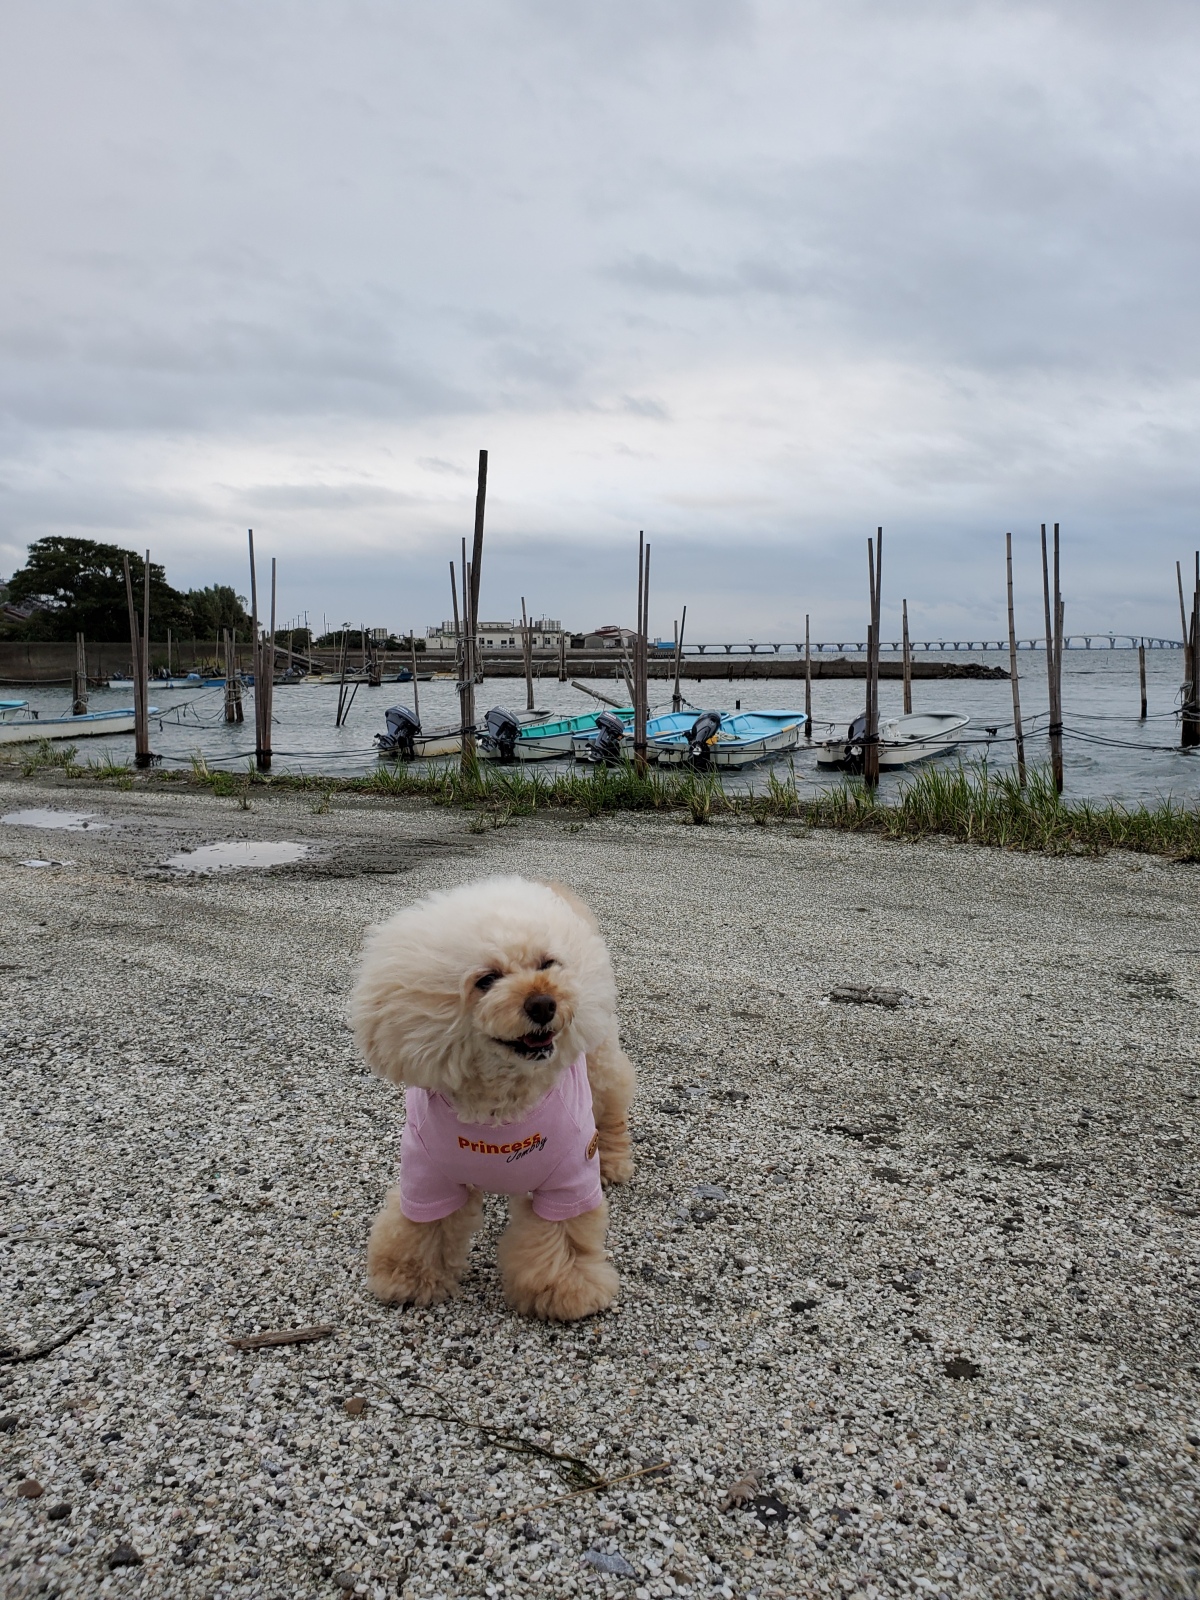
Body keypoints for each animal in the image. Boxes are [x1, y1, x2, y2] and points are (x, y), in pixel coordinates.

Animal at [351, 875, 635, 1321]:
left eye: (547, 965)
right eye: (486, 979)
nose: (544, 1002)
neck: (501, 1105)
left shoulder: (569, 1176)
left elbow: (564, 1237)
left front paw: (567, 1290)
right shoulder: (427, 1173)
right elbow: (420, 1227)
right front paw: (408, 1279)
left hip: (599, 1065)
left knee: (612, 1108)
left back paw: (614, 1161)